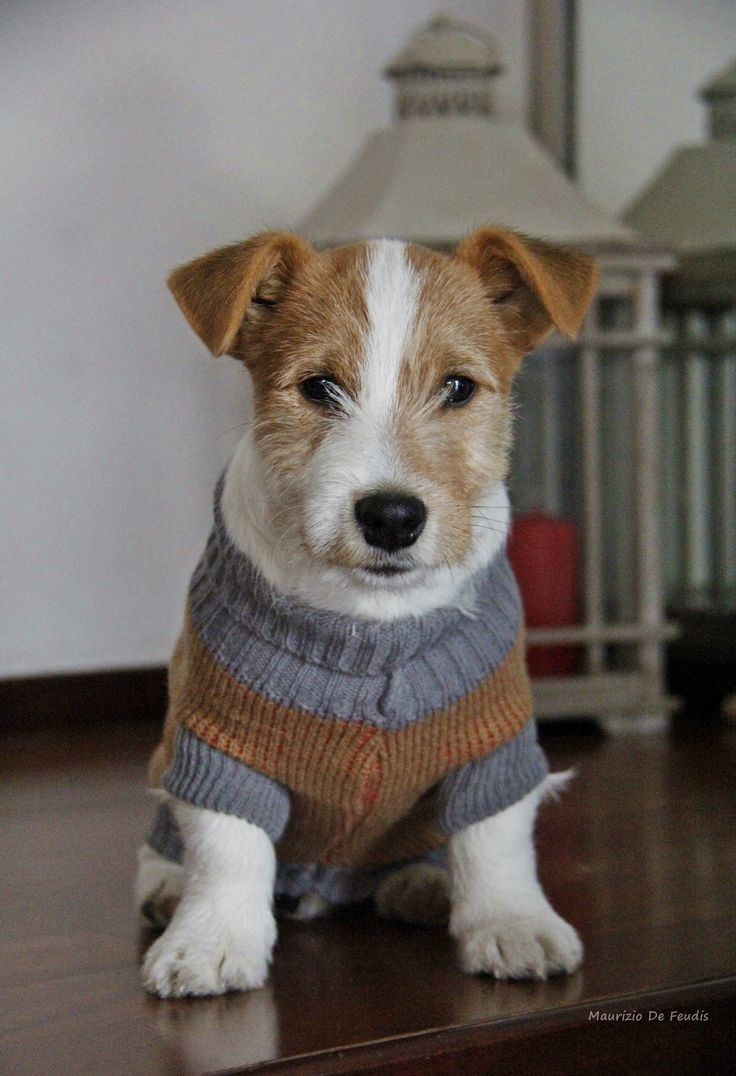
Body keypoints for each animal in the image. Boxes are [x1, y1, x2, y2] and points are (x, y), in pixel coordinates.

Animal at [136, 227, 598, 998]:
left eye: (458, 388)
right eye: (318, 387)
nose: (391, 516)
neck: (369, 625)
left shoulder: (492, 740)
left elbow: (495, 842)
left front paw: (510, 924)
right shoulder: (218, 743)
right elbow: (229, 848)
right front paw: (211, 940)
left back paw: (423, 884)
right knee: (168, 847)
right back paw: (167, 888)